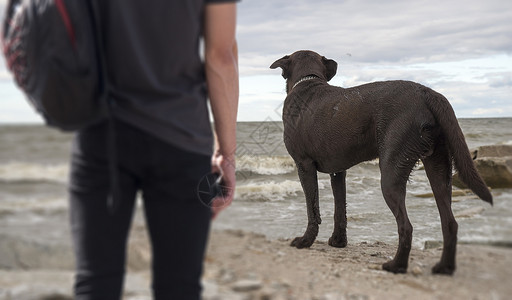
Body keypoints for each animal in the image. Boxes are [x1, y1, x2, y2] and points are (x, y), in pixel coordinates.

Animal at [270, 50, 494, 276]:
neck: (308, 81)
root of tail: (427, 93)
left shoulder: (304, 165)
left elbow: (312, 209)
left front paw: (305, 241)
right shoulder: (338, 172)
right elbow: (340, 209)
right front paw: (338, 241)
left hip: (391, 173)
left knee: (406, 226)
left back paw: (396, 265)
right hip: (439, 168)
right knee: (449, 223)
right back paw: (444, 267)